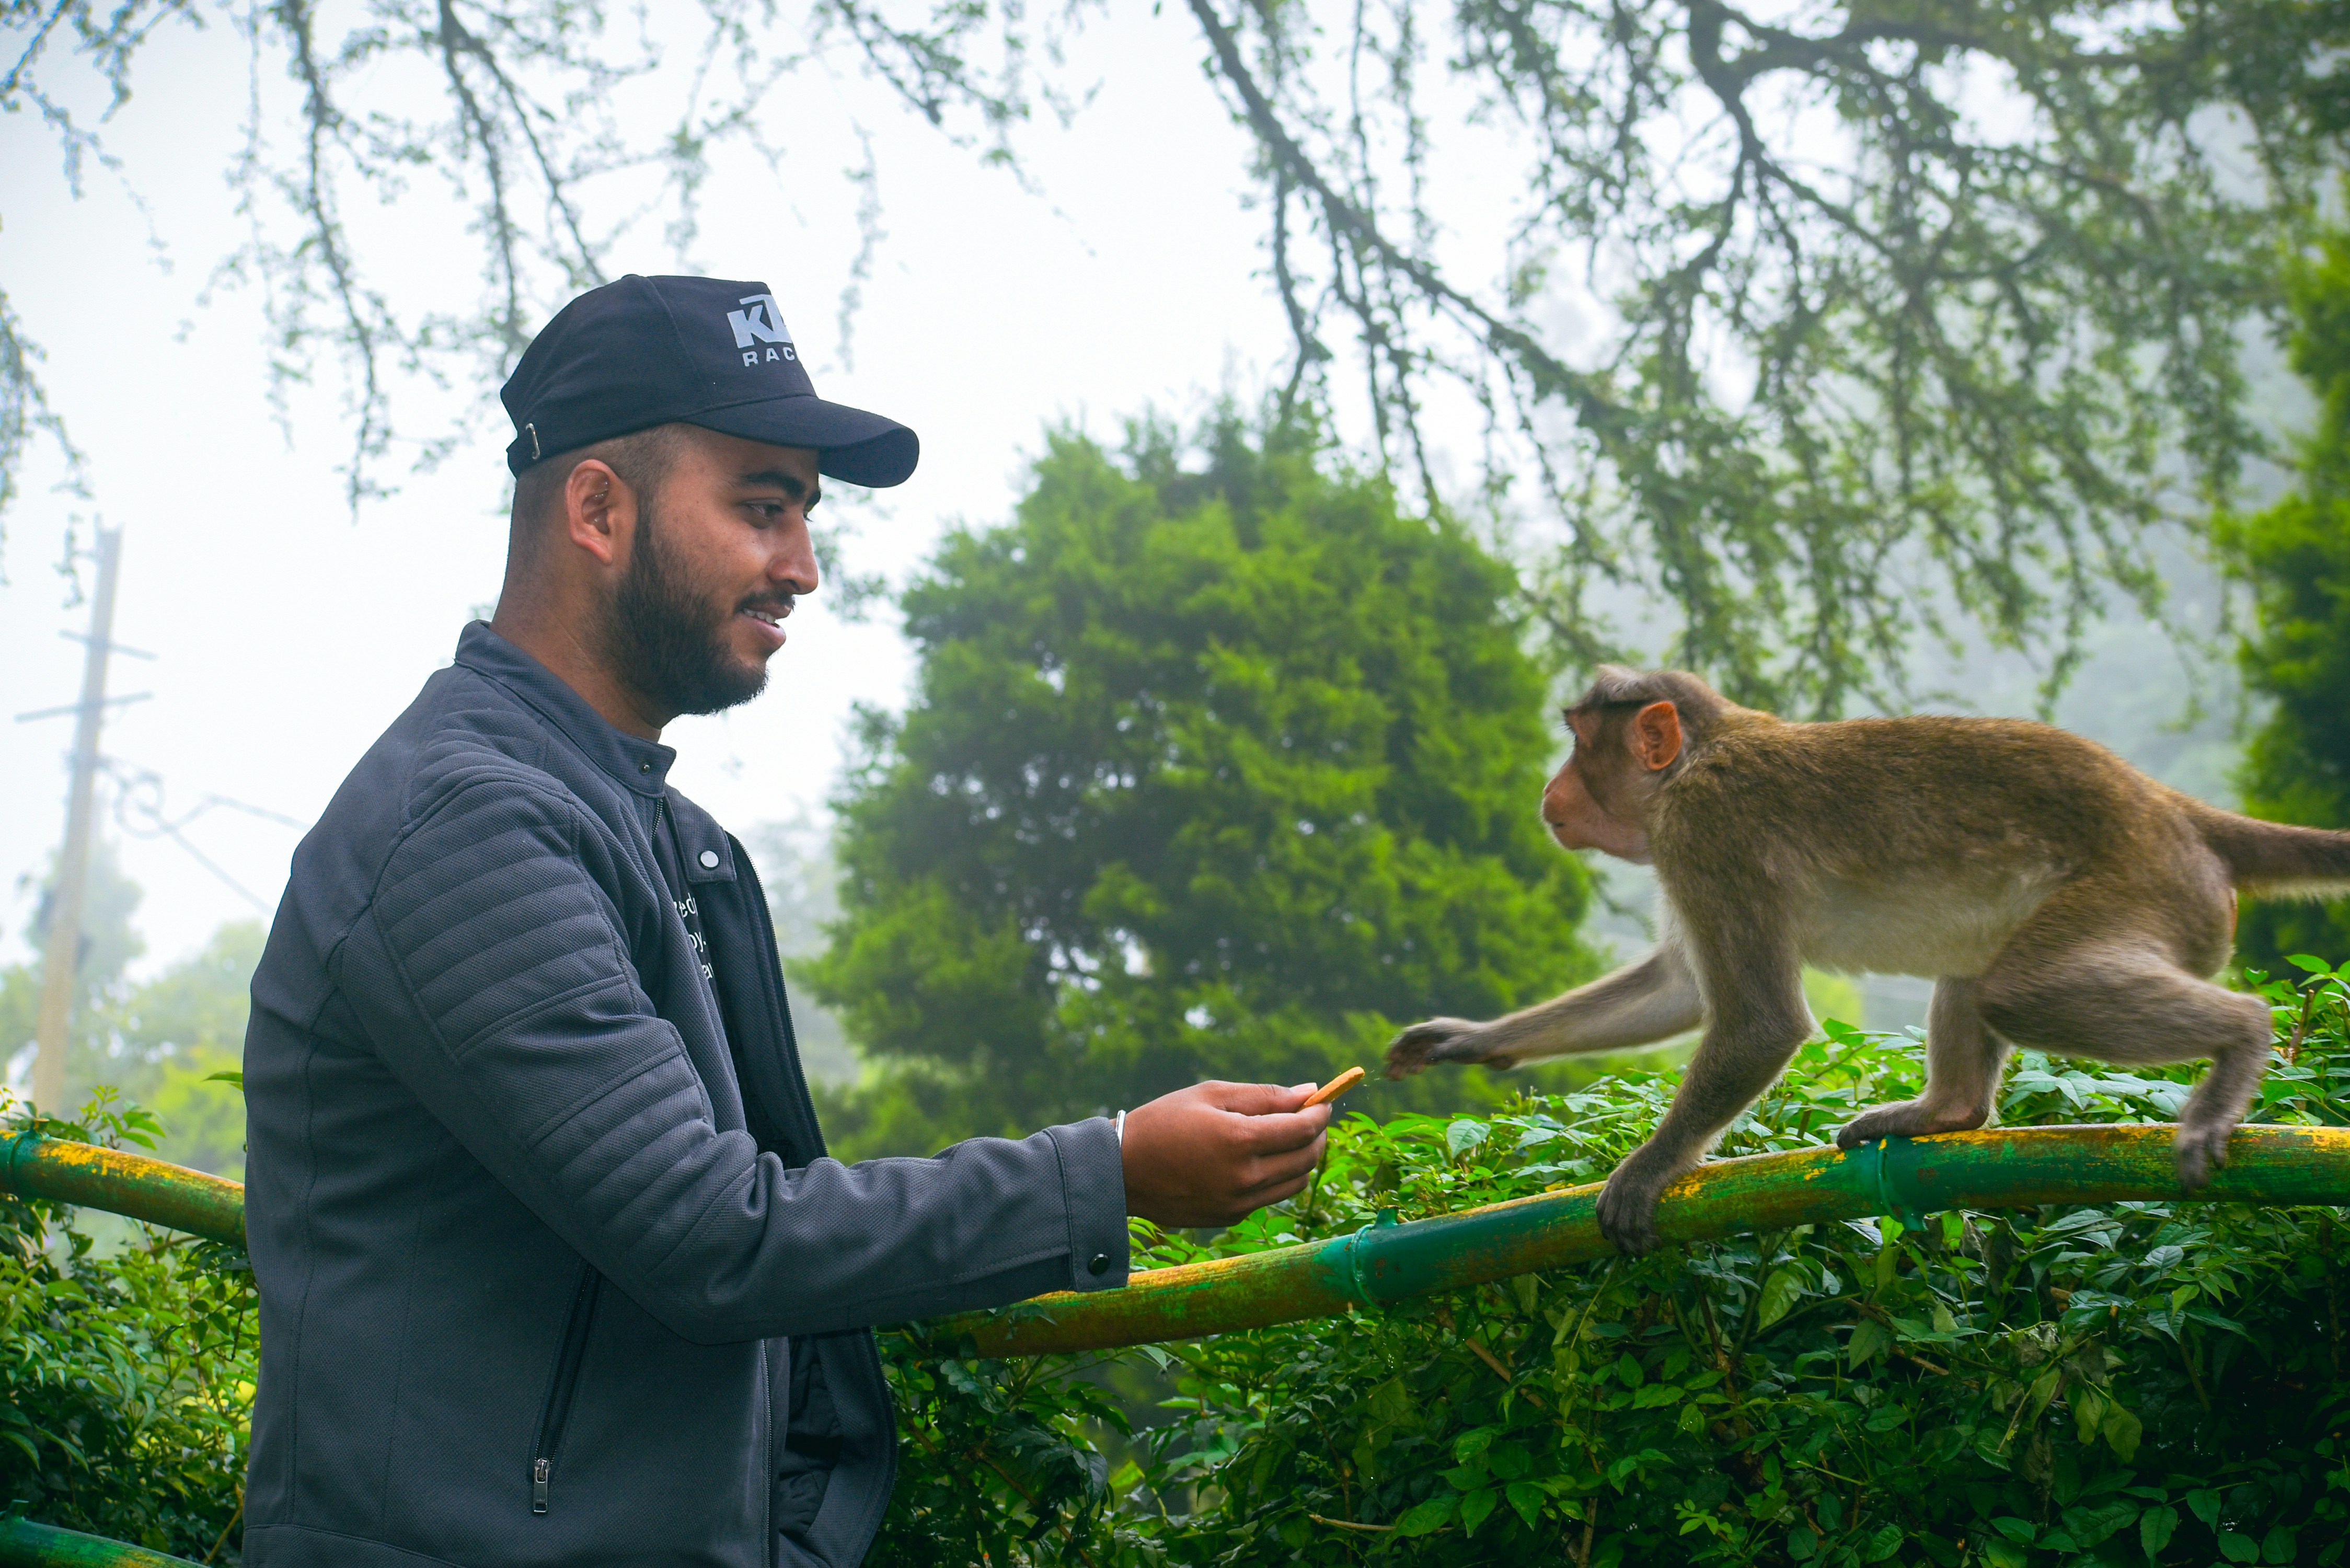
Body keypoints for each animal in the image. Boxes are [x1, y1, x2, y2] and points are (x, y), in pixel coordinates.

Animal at [1386, 665, 2350, 1255]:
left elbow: (1757, 1021)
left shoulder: (1707, 830)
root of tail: (2173, 812)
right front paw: (1465, 1040)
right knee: (1984, 970)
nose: (1552, 791)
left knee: (2023, 988)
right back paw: (1946, 1113)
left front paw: (1651, 1168)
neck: (1701, 757)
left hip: (2147, 889)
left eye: (1584, 745)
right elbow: (1680, 992)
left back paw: (2242, 1040)